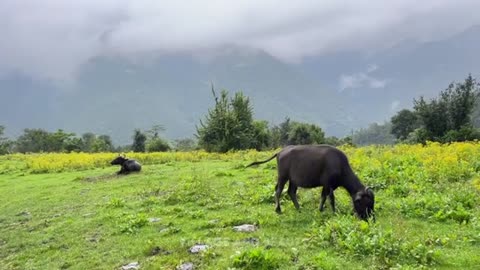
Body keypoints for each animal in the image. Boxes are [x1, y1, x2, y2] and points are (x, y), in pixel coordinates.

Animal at [248, 144, 376, 220]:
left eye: (372, 203)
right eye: (365, 203)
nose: (369, 218)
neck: (339, 165)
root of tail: (280, 152)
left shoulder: (327, 186)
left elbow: (323, 197)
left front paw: (320, 209)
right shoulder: (329, 185)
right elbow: (331, 199)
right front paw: (334, 212)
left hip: (293, 180)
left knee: (291, 192)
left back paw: (299, 208)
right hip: (283, 176)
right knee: (278, 191)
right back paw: (278, 209)